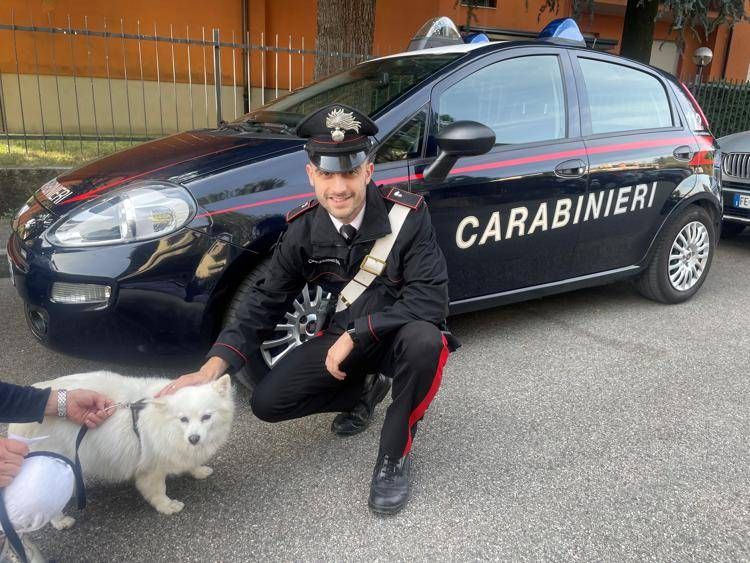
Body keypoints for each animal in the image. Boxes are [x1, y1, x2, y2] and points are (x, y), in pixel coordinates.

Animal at [7, 372, 234, 528]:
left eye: (206, 417)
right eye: (183, 419)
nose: (194, 438)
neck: (165, 424)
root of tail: (16, 425)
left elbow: (191, 462)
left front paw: (198, 470)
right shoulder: (151, 469)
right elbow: (158, 491)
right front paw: (167, 506)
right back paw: (60, 521)